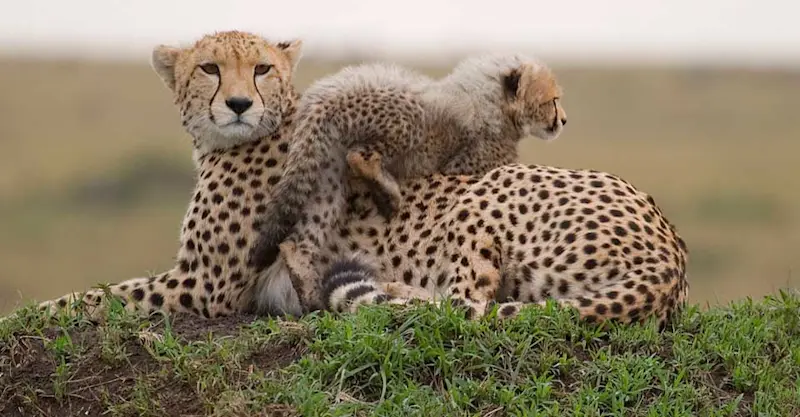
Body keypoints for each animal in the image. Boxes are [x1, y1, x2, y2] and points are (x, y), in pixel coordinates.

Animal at [248, 54, 567, 274]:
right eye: (552, 100)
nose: (563, 120)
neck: (491, 104)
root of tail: (326, 91)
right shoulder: (465, 168)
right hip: (408, 121)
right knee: (360, 156)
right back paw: (388, 195)